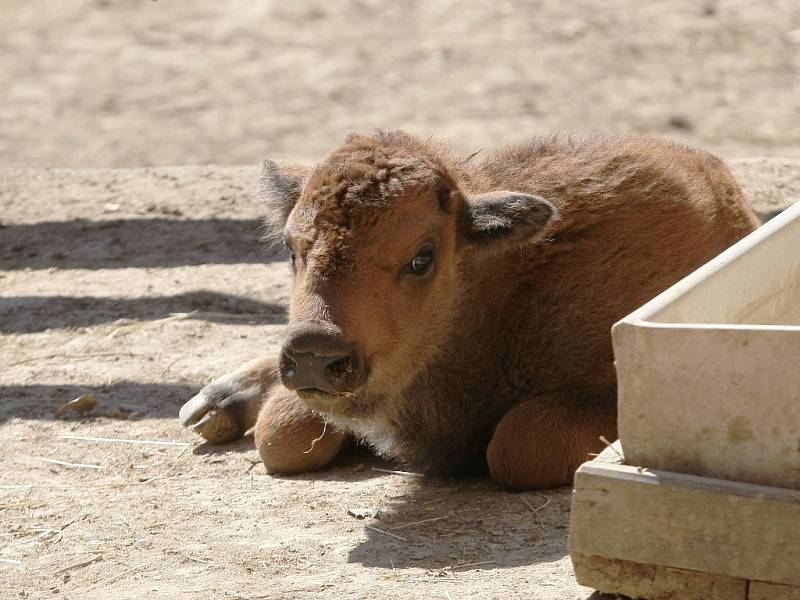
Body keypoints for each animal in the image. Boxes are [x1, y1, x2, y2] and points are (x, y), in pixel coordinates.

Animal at [178, 129, 760, 490]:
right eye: (290, 248)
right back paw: (213, 404)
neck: (500, 285)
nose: (315, 356)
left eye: (422, 258)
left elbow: (519, 447)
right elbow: (283, 435)